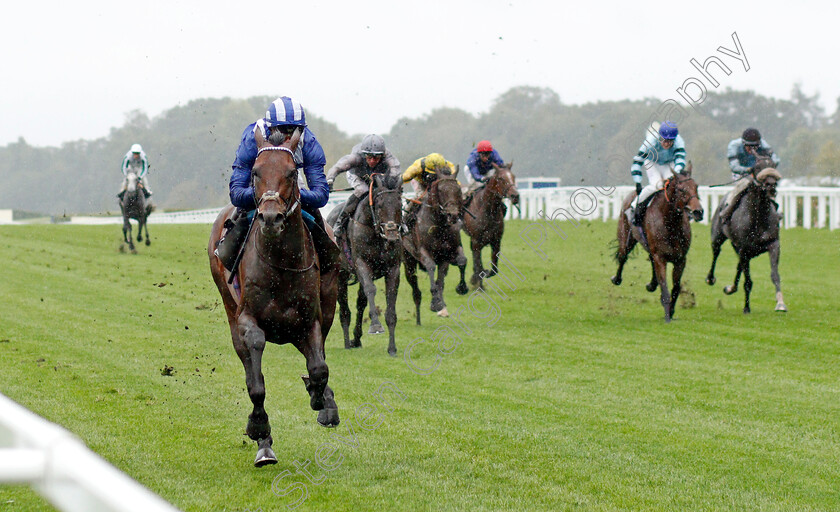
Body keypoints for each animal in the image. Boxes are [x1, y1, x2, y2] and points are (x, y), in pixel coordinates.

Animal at [208, 129, 340, 468]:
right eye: (255, 171)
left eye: (292, 172)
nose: (270, 218)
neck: (280, 261)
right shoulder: (247, 319)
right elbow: (256, 382)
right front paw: (259, 430)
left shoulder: (310, 320)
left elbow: (319, 368)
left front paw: (320, 398)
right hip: (229, 306)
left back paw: (326, 402)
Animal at [324, 172, 404, 356]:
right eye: (380, 205)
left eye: (399, 203)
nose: (392, 234)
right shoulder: (362, 264)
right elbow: (370, 290)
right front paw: (375, 325)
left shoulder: (393, 269)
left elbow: (389, 304)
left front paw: (392, 347)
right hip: (340, 276)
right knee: (344, 309)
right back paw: (347, 342)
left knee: (360, 302)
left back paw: (356, 338)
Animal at [402, 174, 470, 322]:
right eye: (441, 191)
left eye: (458, 190)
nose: (453, 214)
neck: (438, 226)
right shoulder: (423, 251)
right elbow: (431, 266)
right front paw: (435, 303)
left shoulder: (447, 254)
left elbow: (460, 263)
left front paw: (461, 288)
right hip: (408, 261)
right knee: (415, 289)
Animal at [460, 162, 520, 290]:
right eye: (501, 178)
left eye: (513, 176)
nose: (515, 196)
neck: (488, 211)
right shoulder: (477, 240)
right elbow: (479, 264)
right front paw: (478, 284)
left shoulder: (496, 240)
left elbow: (494, 268)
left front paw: (481, 276)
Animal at [612, 164, 704, 322]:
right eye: (681, 189)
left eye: (696, 187)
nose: (698, 212)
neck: (670, 223)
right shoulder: (660, 257)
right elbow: (665, 287)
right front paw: (667, 315)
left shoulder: (680, 259)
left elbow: (676, 288)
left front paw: (671, 311)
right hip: (626, 237)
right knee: (623, 256)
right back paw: (617, 279)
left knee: (649, 260)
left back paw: (651, 285)